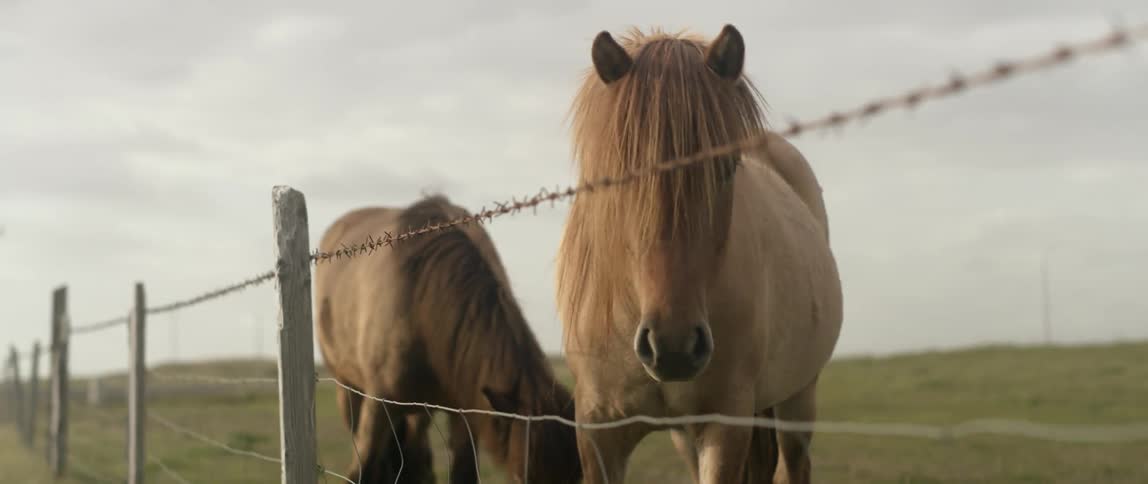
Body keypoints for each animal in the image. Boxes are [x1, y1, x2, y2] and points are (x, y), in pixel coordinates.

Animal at [314, 194, 582, 484]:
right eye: (521, 479)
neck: (419, 304)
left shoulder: (464, 412)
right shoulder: (379, 405)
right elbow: (361, 471)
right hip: (349, 389)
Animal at [555, 25, 843, 483]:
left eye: (725, 169)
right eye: (620, 175)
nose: (673, 346)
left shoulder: (724, 426)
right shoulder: (598, 432)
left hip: (799, 399)